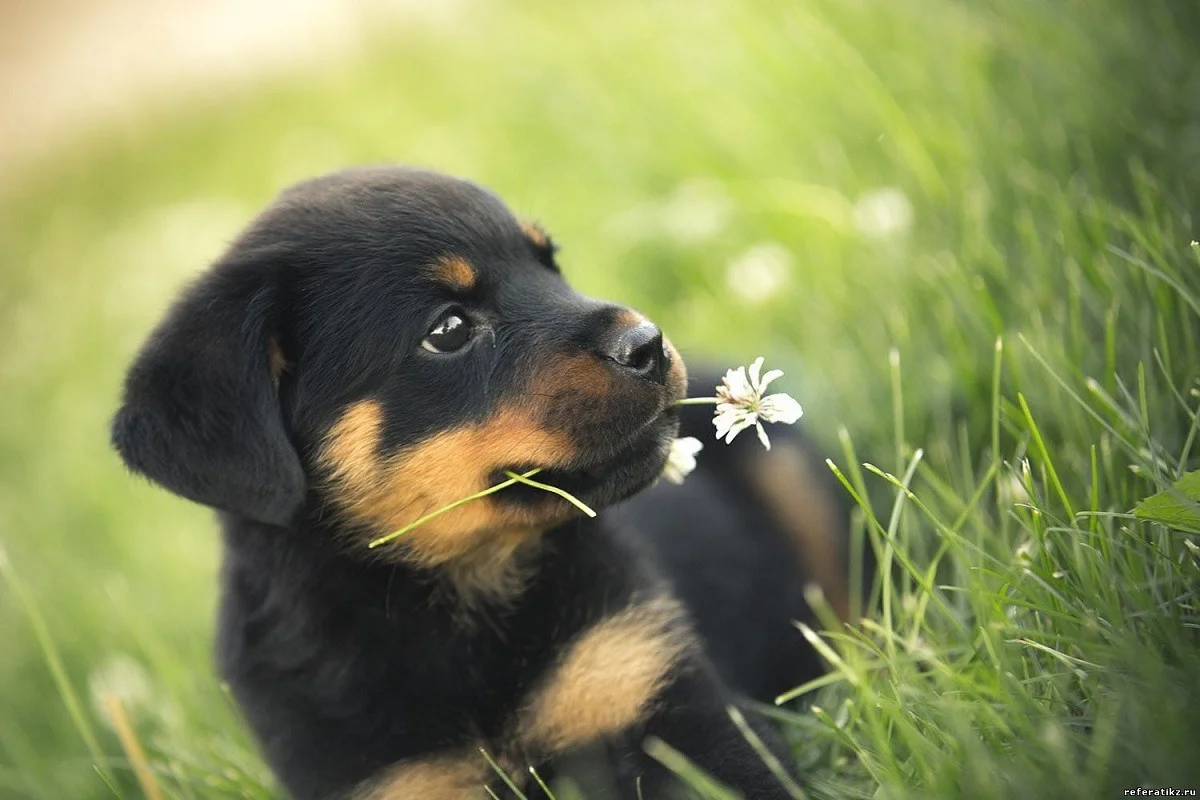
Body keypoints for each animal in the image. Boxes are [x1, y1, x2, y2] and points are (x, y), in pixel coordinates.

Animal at [108, 165, 849, 796]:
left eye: (550, 263)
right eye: (449, 329)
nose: (648, 342)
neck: (456, 596)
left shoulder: (658, 691)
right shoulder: (394, 781)